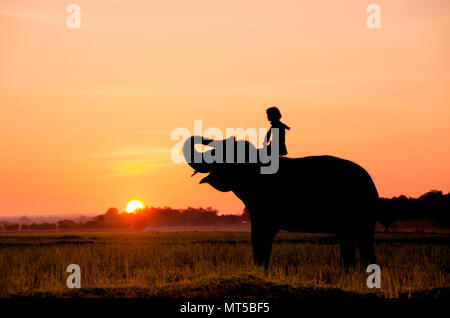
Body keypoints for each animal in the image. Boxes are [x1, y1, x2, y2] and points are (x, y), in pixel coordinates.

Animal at [184, 135, 380, 268]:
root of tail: (370, 182)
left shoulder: (265, 206)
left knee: (363, 244)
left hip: (362, 211)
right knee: (350, 243)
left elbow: (260, 237)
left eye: (217, 154)